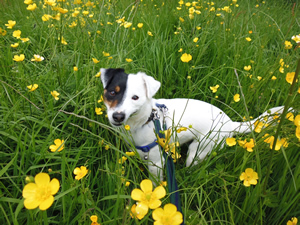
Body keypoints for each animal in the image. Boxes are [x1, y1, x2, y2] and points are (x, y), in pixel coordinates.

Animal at [100, 67, 284, 180]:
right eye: (112, 92)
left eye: (135, 97)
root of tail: (231, 124)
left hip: (199, 151)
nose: (118, 116)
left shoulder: (156, 163)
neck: (146, 120)